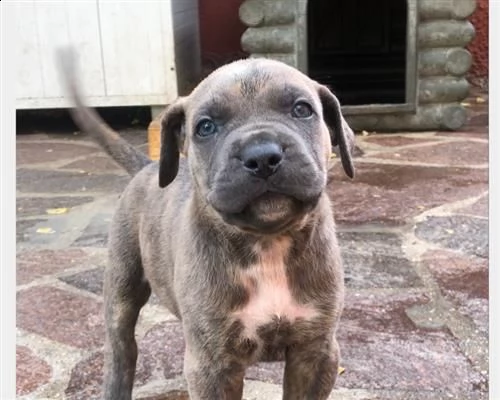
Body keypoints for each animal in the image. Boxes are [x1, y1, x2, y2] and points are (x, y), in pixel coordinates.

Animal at [57, 50, 356, 400]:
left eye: (302, 109)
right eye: (206, 127)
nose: (261, 156)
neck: (267, 243)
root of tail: (147, 167)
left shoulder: (315, 351)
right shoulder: (212, 365)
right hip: (121, 287)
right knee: (122, 349)